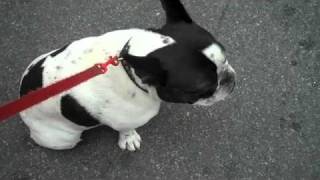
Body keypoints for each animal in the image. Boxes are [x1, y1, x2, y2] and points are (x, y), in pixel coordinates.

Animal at [18, 0, 236, 151]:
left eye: (225, 58)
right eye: (201, 88)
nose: (229, 79)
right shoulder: (123, 121)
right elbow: (125, 129)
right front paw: (128, 138)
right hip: (62, 139)